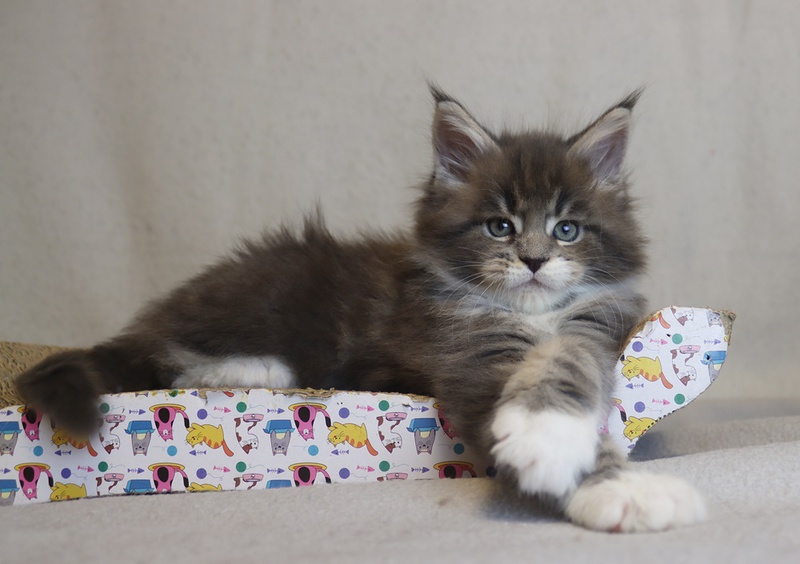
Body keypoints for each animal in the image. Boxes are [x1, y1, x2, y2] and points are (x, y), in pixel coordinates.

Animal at [16, 86, 705, 532]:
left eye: (567, 231)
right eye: (499, 226)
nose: (534, 260)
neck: (528, 315)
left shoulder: (596, 328)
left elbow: (569, 359)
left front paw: (605, 471)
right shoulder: (460, 347)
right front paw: (603, 478)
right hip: (266, 299)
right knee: (167, 358)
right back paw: (254, 369)